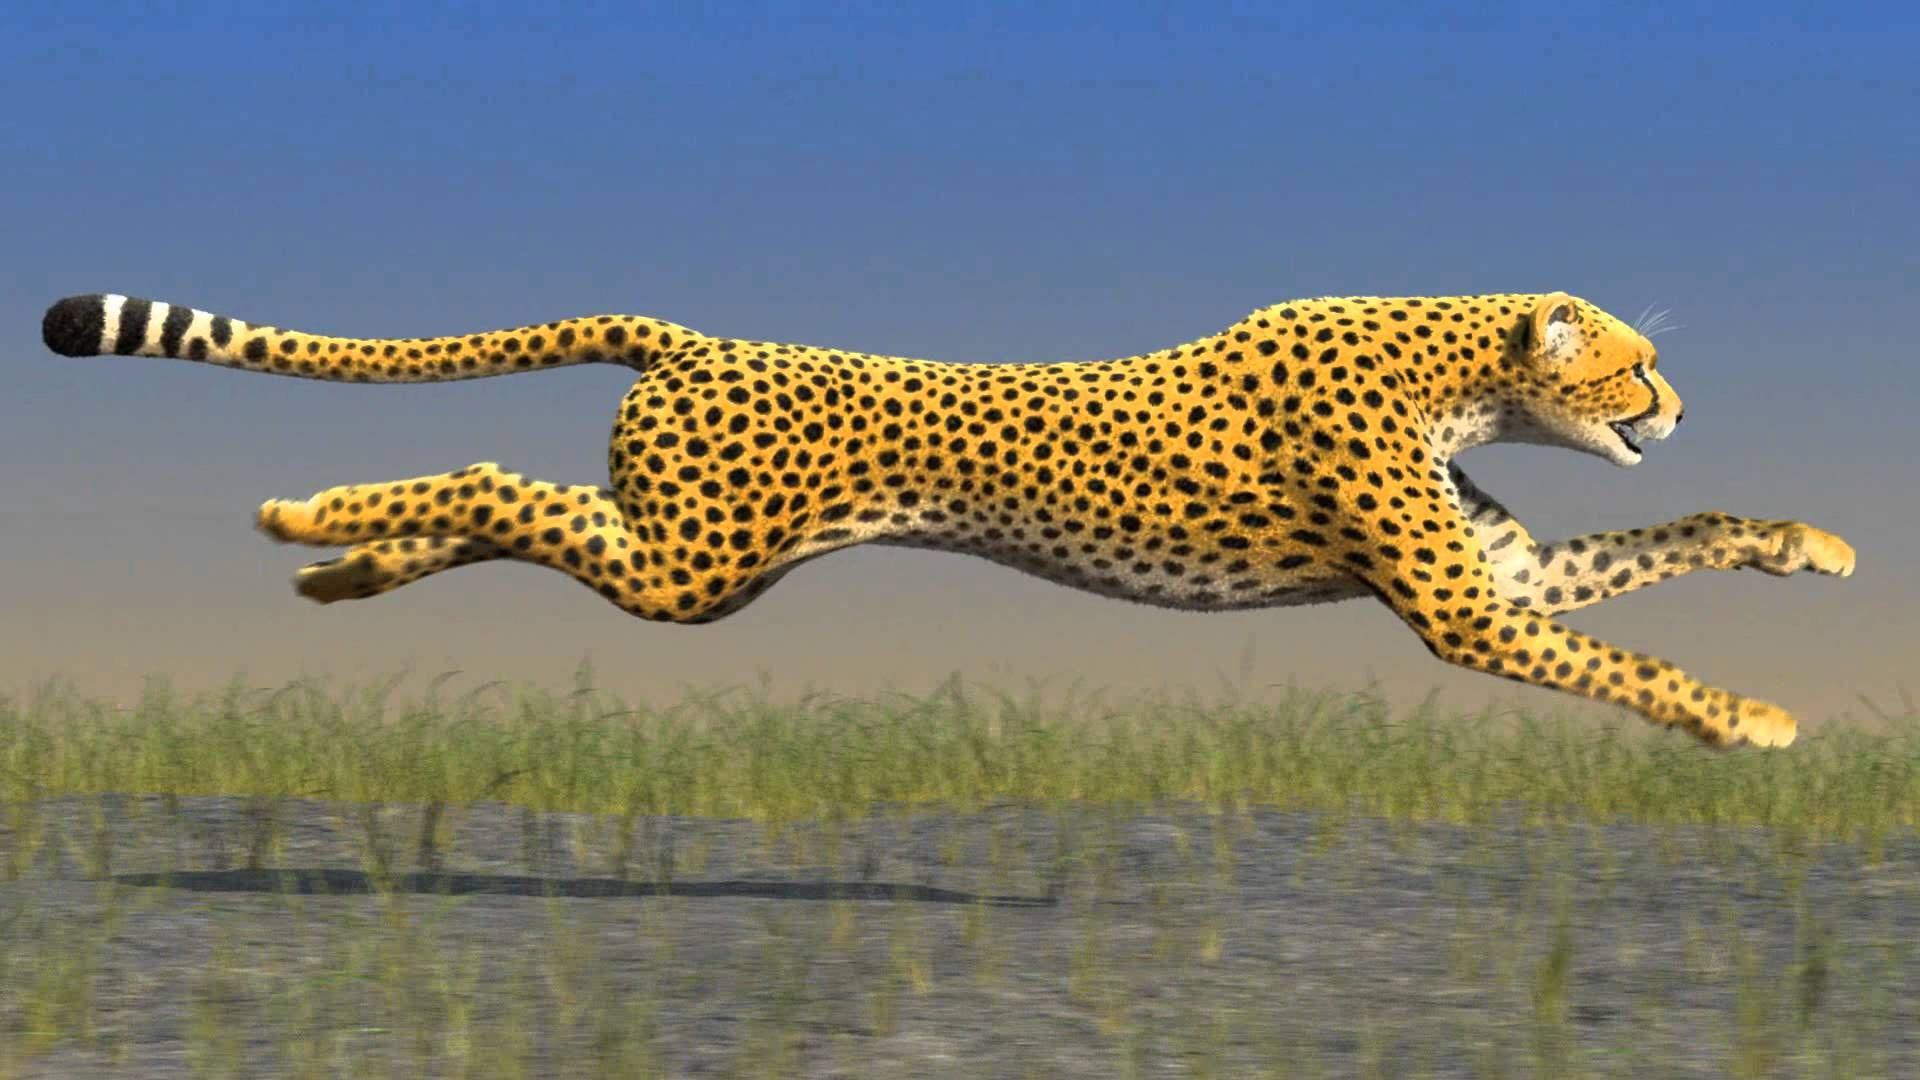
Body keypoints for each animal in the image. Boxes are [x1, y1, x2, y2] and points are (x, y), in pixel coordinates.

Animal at [40, 289, 1857, 748]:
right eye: (1631, 365)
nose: (1673, 405)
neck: (1454, 366)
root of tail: (691, 334)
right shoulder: (1472, 608)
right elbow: (1638, 668)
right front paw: (1754, 718)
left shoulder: (1507, 571)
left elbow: (1685, 536)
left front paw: (1815, 546)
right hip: (695, 562)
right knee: (494, 488)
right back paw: (304, 510)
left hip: (683, 552)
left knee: (510, 509)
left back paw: (341, 567)